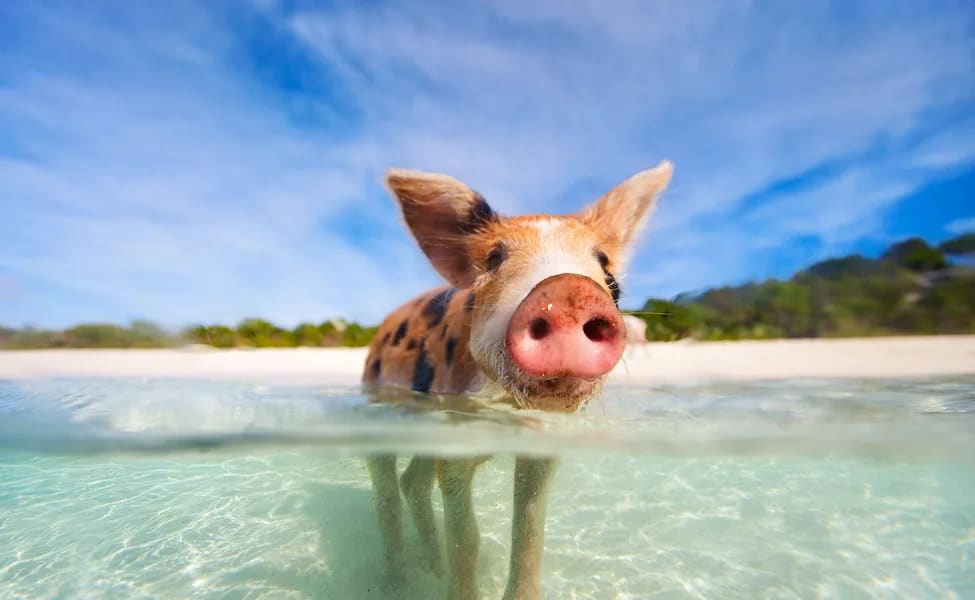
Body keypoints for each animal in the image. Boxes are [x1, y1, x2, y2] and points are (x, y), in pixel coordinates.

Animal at [362, 161, 673, 599]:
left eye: (605, 266)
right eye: (494, 258)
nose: (568, 290)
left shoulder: (541, 445)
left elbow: (528, 534)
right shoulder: (454, 441)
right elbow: (467, 540)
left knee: (413, 484)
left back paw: (431, 569)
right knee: (388, 493)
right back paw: (395, 584)